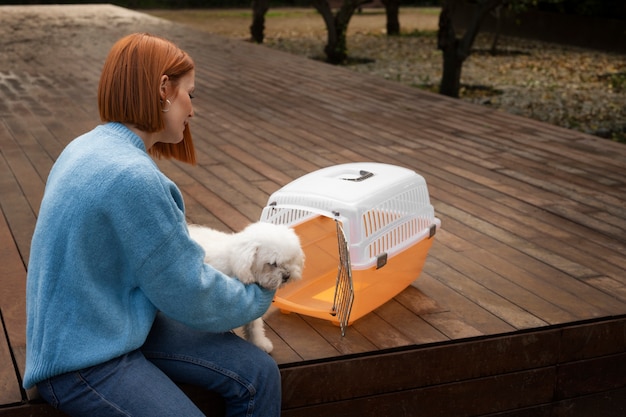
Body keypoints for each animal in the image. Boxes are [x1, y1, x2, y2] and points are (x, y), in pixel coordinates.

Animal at [185, 221, 302, 352]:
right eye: (272, 264)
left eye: (290, 259)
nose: (287, 276)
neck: (236, 261)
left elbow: (254, 324)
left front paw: (259, 342)